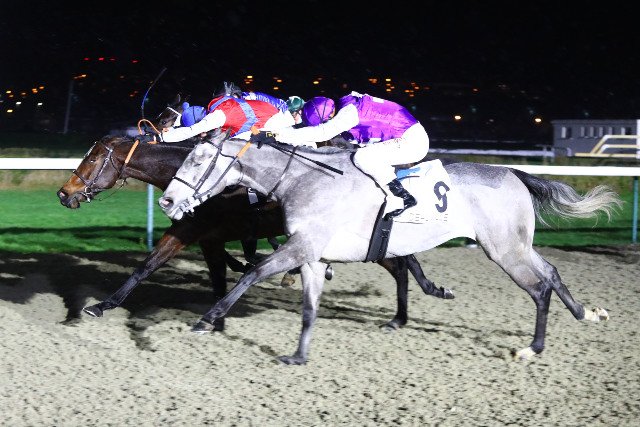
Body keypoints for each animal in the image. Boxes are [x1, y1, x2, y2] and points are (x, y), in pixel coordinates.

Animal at [57, 134, 452, 332]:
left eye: (92, 158)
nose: (64, 193)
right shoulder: (200, 235)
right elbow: (150, 268)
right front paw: (102, 305)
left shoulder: (199, 232)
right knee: (401, 261)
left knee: (399, 264)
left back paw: (404, 312)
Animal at [158, 130, 622, 365]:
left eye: (197, 160)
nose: (166, 201)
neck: (302, 178)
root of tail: (513, 172)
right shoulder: (312, 255)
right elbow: (309, 308)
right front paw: (298, 355)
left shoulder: (301, 247)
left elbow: (253, 273)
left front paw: (208, 319)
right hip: (516, 245)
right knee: (552, 273)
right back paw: (587, 313)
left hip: (504, 250)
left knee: (539, 288)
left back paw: (533, 347)